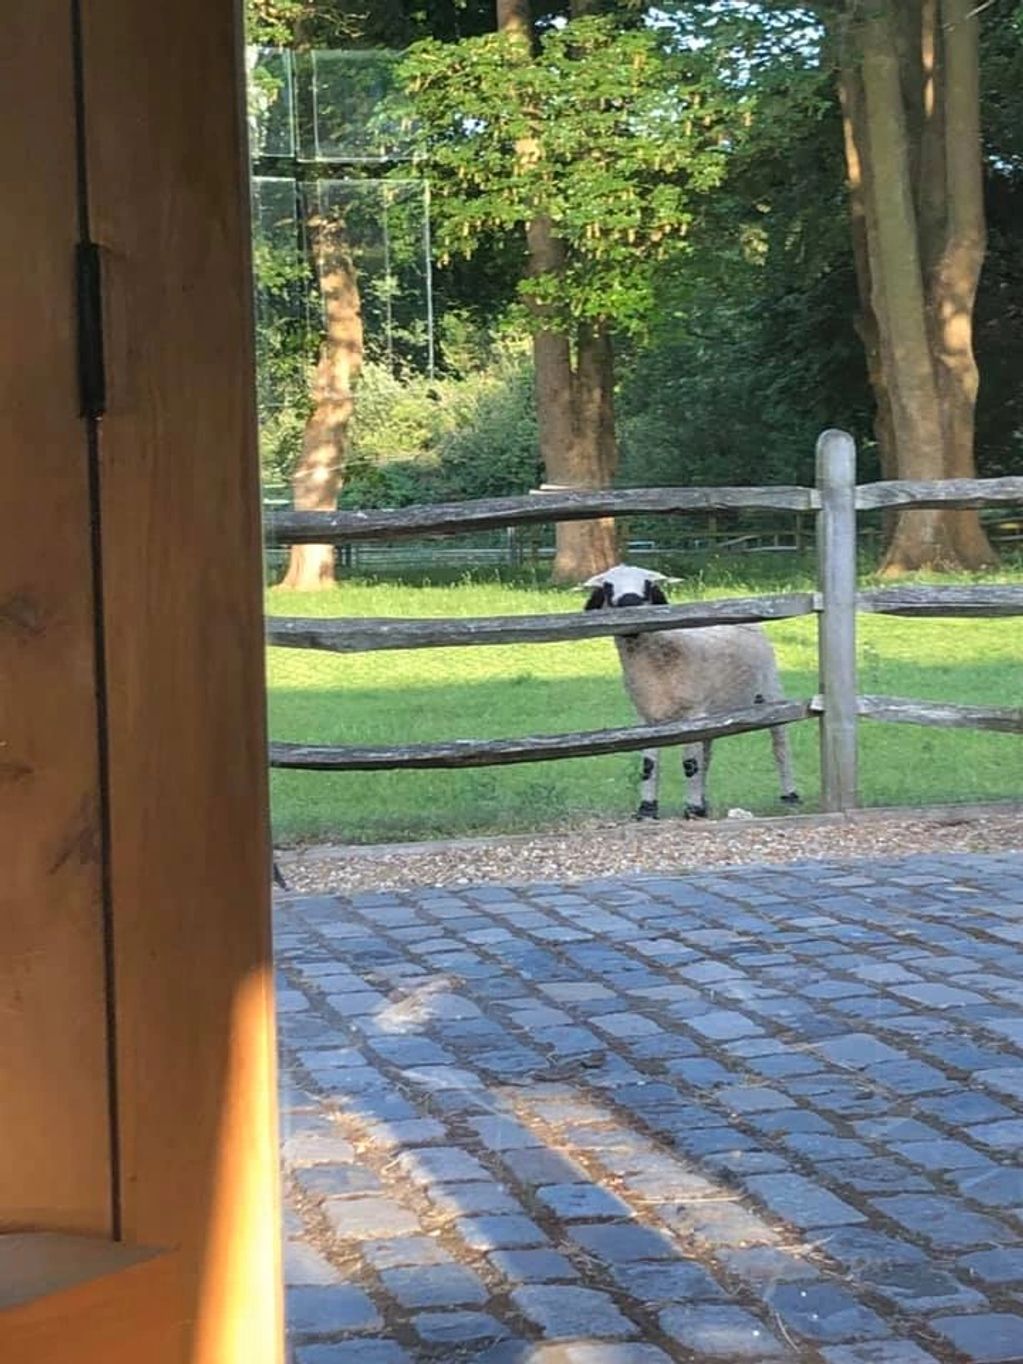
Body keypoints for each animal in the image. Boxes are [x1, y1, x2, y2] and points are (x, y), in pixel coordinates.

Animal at [583, 561, 802, 818]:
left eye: (648, 585)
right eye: (608, 587)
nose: (630, 604)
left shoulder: (693, 712)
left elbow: (690, 765)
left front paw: (692, 809)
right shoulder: (646, 716)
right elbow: (648, 766)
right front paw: (647, 809)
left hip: (769, 690)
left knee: (780, 744)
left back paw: (790, 795)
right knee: (707, 753)